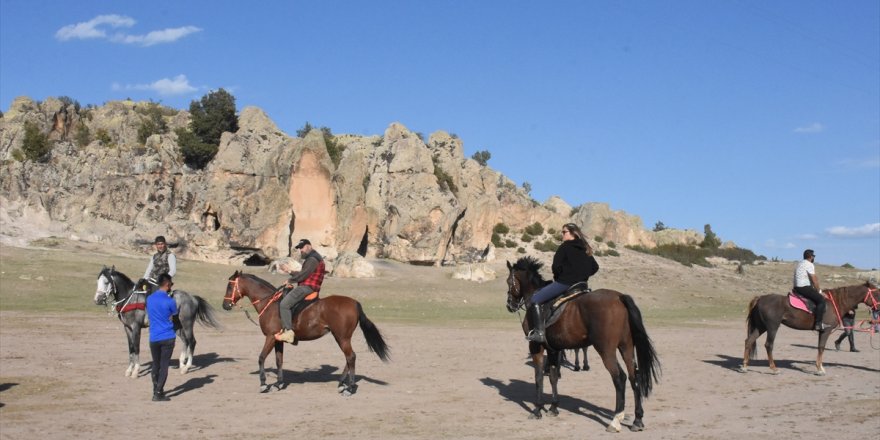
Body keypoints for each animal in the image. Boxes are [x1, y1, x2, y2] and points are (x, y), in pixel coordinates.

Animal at [222, 270, 390, 394]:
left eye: (229, 286)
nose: (225, 305)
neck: (270, 303)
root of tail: (354, 303)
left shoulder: (270, 337)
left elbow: (261, 358)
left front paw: (263, 384)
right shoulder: (278, 339)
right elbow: (278, 360)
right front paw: (278, 383)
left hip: (342, 337)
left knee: (351, 357)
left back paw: (349, 388)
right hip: (341, 337)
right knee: (349, 359)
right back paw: (342, 383)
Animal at [506, 256, 656, 432]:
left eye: (509, 281)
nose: (509, 305)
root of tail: (619, 297)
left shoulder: (536, 346)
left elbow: (538, 377)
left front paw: (537, 409)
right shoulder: (554, 349)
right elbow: (553, 377)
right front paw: (554, 407)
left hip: (606, 350)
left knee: (620, 378)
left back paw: (615, 420)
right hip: (626, 348)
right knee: (634, 377)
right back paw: (637, 419)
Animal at [740, 282, 876, 374]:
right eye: (876, 293)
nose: (877, 307)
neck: (835, 303)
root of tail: (760, 298)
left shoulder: (822, 331)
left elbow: (820, 347)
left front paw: (820, 367)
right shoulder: (825, 331)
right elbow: (821, 347)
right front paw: (819, 369)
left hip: (761, 327)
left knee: (749, 341)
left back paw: (745, 366)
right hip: (772, 327)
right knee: (768, 345)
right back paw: (774, 368)